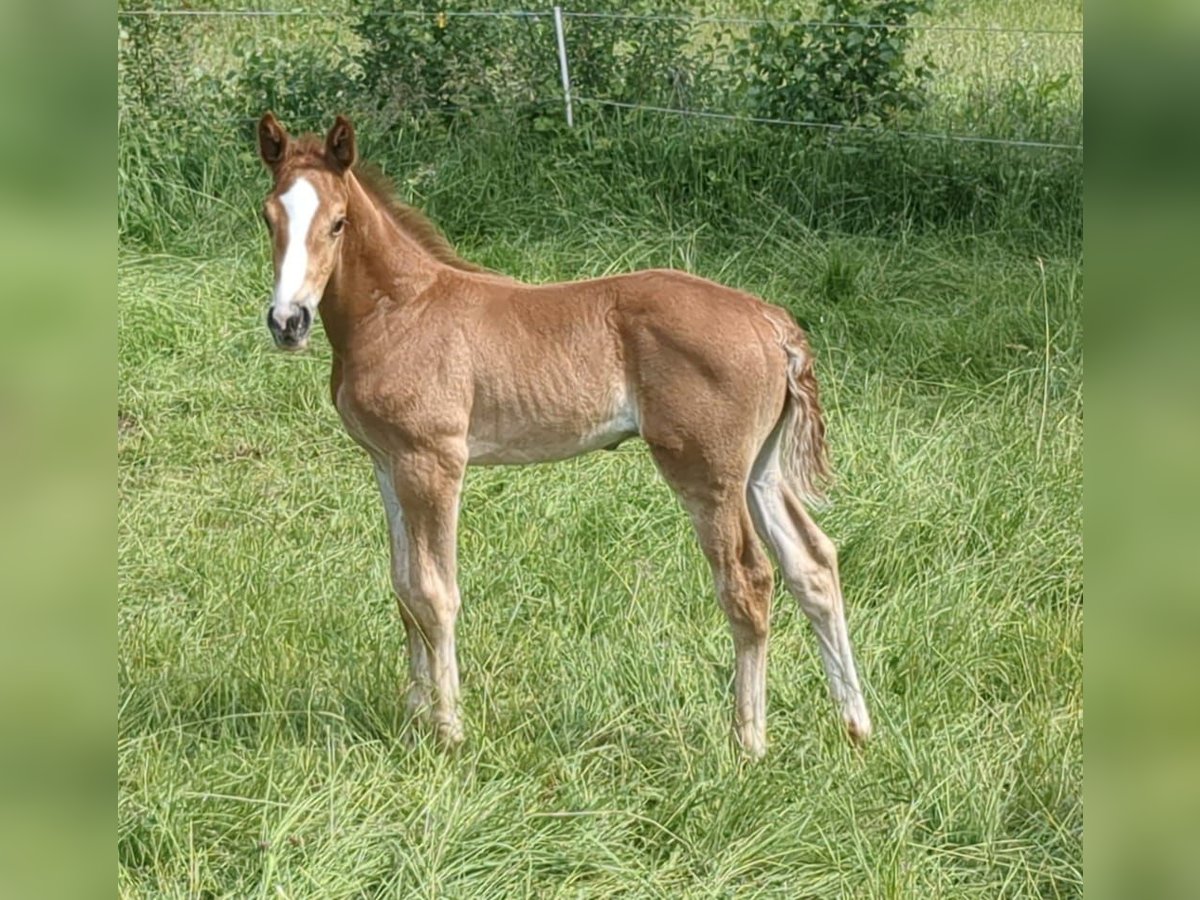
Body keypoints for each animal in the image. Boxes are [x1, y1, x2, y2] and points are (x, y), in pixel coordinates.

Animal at [255, 114, 873, 763]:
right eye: (268, 217)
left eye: (338, 222)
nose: (288, 322)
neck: (401, 309)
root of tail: (771, 322)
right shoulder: (386, 461)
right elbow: (404, 589)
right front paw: (415, 717)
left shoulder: (433, 461)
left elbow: (434, 591)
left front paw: (448, 730)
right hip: (760, 469)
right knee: (813, 564)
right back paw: (855, 724)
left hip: (708, 472)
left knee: (749, 580)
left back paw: (748, 741)